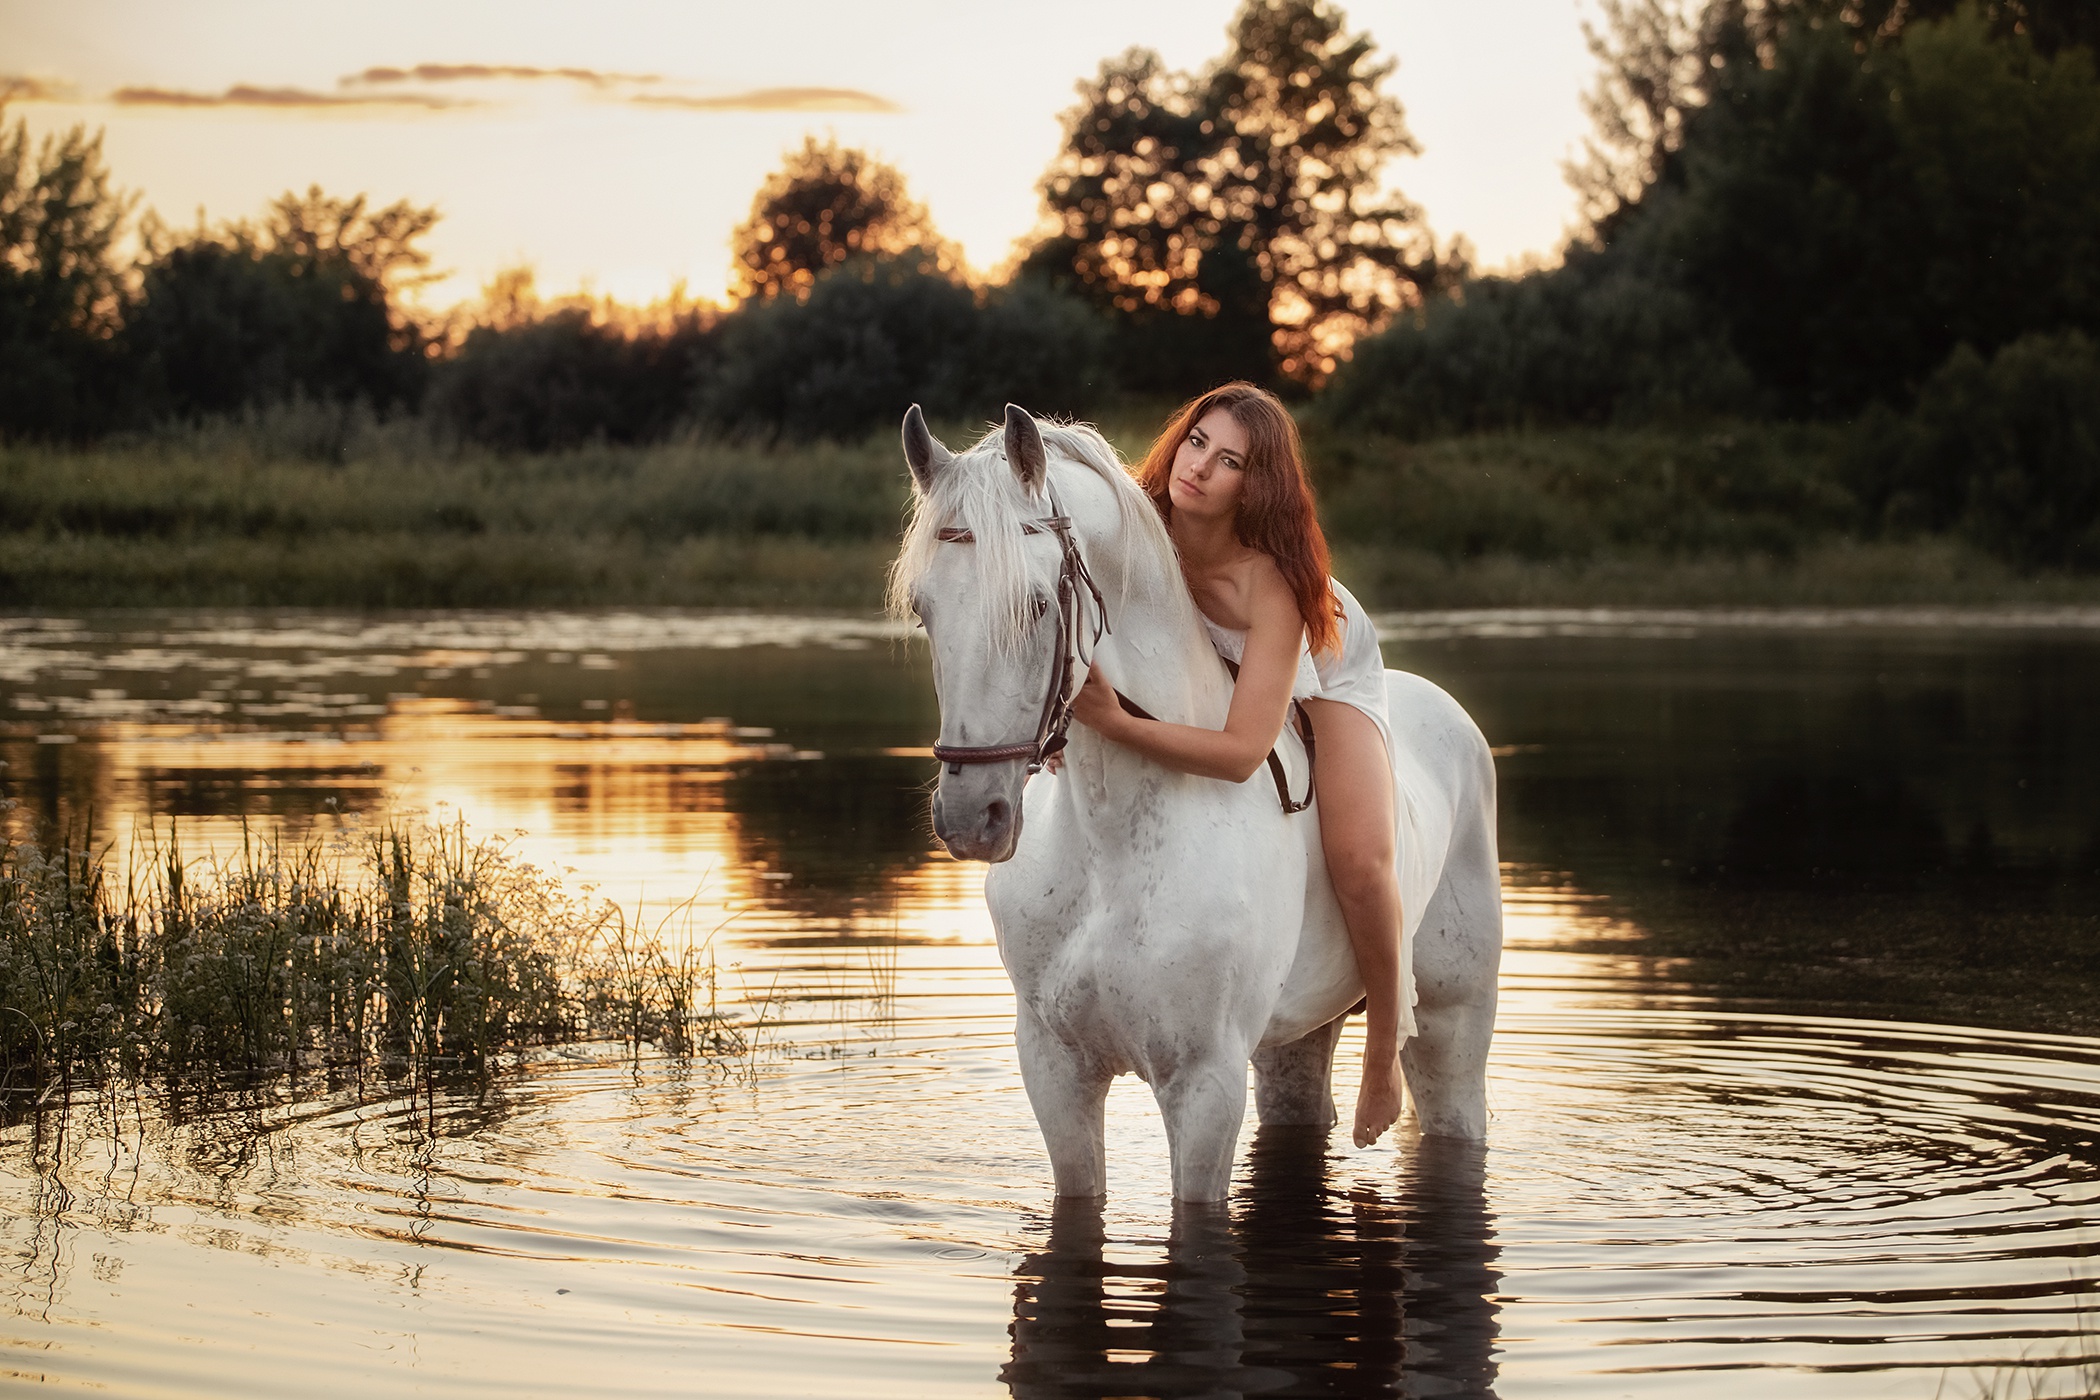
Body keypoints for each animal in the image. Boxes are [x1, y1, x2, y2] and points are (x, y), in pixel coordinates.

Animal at [894, 405, 1503, 1208]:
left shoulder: (1204, 1084)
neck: (1109, 839)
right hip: (1293, 1040)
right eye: (923, 610)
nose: (971, 819)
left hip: (1452, 1028)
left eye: (1035, 604)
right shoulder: (1054, 1071)